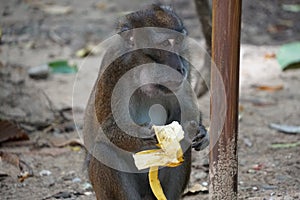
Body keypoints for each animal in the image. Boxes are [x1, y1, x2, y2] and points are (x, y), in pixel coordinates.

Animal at [82, 4, 209, 200]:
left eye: (179, 42)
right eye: (165, 44)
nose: (179, 67)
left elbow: (185, 116)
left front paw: (200, 131)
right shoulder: (115, 71)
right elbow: (107, 131)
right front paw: (145, 136)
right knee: (104, 150)